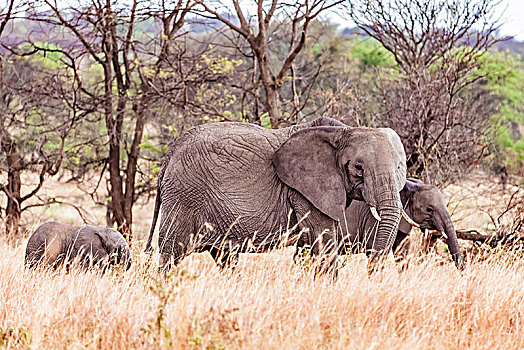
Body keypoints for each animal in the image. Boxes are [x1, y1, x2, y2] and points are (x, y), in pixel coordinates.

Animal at [143, 117, 410, 274]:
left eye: (400, 167)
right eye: (358, 168)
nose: (372, 274)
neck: (342, 131)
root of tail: (170, 154)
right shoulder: (304, 190)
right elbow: (323, 241)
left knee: (224, 256)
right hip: (184, 196)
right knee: (171, 253)